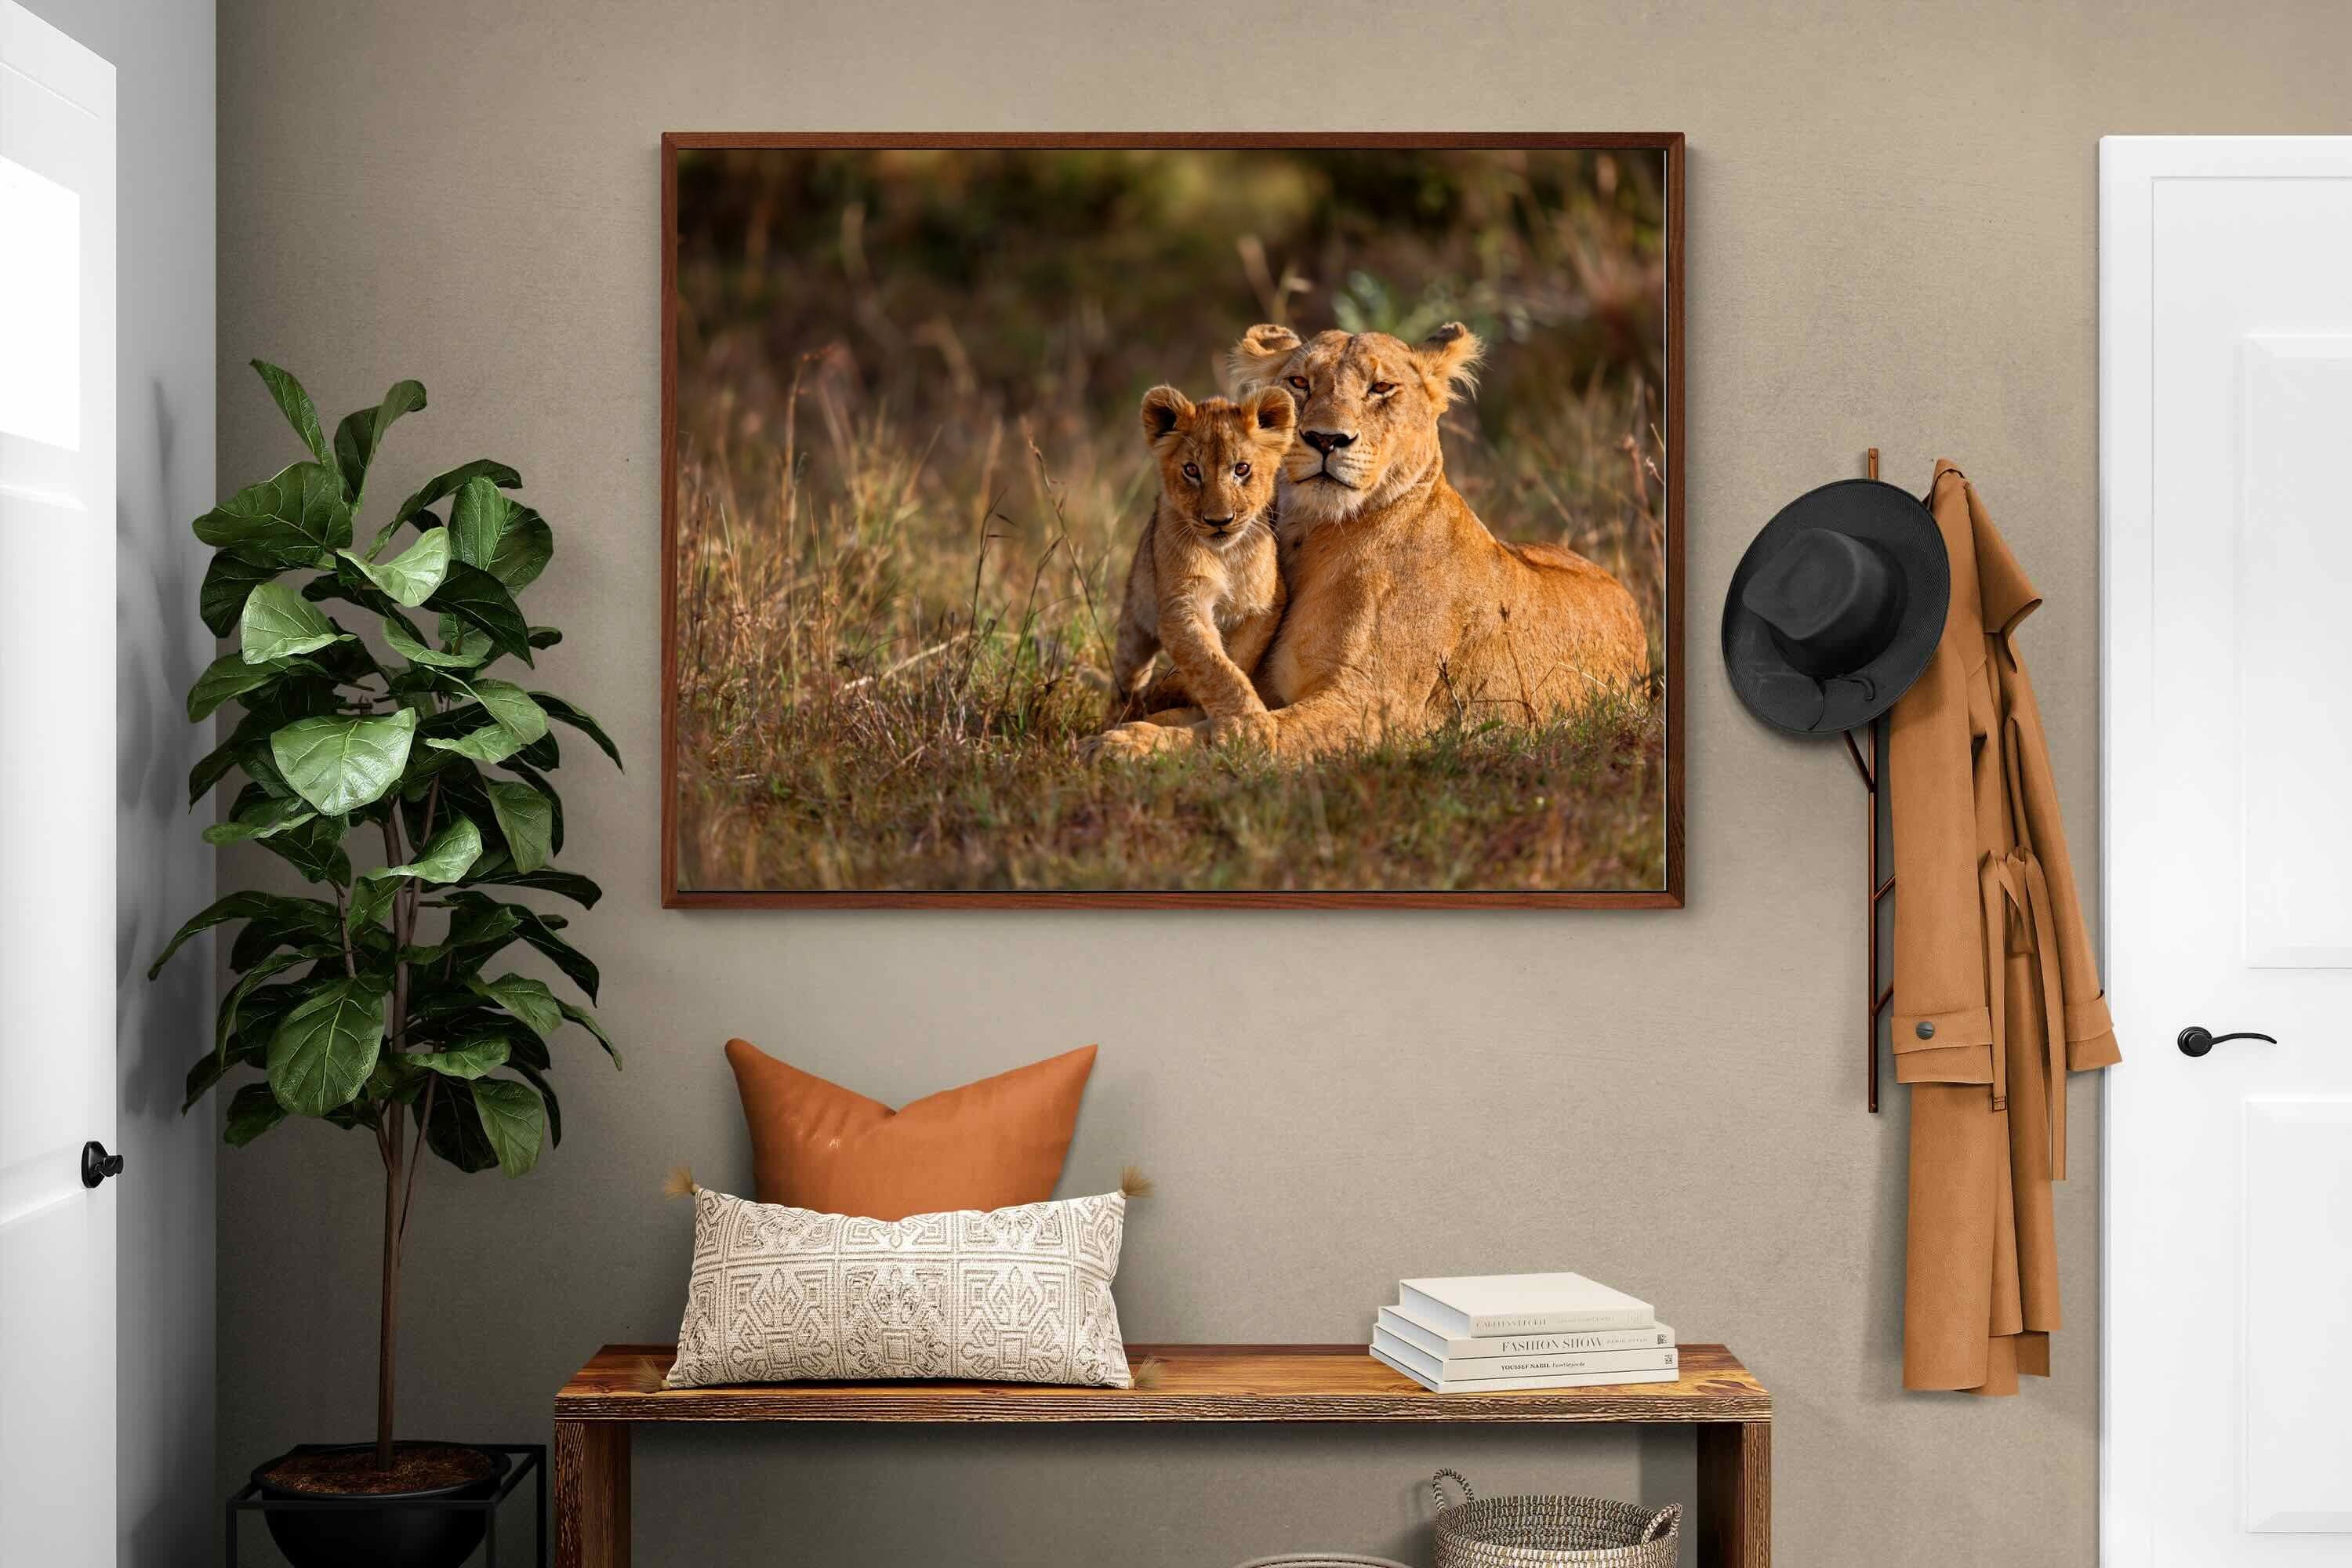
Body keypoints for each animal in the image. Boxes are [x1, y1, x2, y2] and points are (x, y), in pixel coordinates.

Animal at [1099, 384, 1293, 731]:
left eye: (1241, 469)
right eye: (1191, 470)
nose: (1219, 521)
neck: (1226, 555)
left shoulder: (1266, 605)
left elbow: (1236, 659)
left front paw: (1176, 691)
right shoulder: (1181, 606)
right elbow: (1213, 666)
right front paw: (1250, 726)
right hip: (1135, 620)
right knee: (1127, 675)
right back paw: (1120, 714)